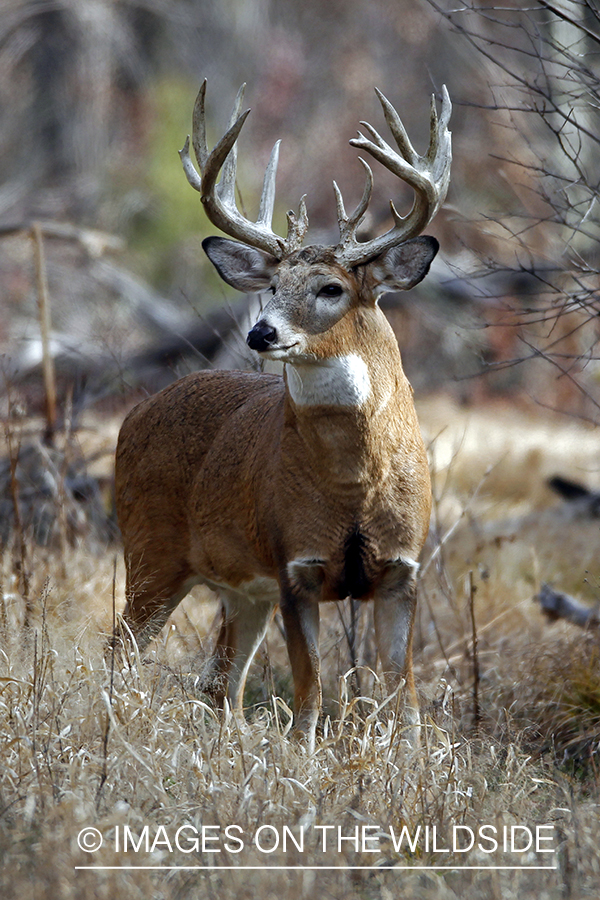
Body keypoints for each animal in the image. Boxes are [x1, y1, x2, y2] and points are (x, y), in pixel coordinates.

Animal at [115, 79, 450, 752]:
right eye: (272, 287)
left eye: (331, 289)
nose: (261, 332)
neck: (353, 484)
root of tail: (132, 416)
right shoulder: (296, 564)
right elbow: (310, 697)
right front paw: (307, 757)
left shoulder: (404, 567)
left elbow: (403, 700)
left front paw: (410, 761)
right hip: (149, 550)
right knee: (122, 652)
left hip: (241, 590)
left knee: (220, 682)